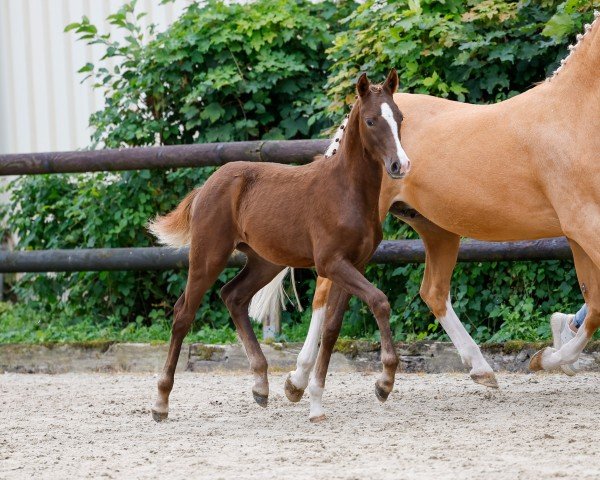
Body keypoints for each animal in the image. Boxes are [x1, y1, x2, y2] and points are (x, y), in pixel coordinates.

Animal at [150, 69, 412, 422]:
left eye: (399, 117)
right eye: (371, 121)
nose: (401, 165)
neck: (347, 192)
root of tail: (208, 184)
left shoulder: (354, 264)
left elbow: (332, 328)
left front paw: (314, 399)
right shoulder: (331, 263)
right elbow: (380, 301)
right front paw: (384, 382)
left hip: (265, 261)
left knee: (233, 296)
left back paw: (261, 385)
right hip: (208, 256)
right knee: (183, 314)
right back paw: (161, 402)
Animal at [252, 10, 600, 404]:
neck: (572, 114)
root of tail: (348, 123)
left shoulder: (578, 234)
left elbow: (593, 304)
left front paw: (552, 354)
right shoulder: (583, 225)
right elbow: (596, 308)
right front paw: (547, 358)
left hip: (437, 230)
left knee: (432, 292)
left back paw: (481, 370)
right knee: (324, 292)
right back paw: (297, 381)